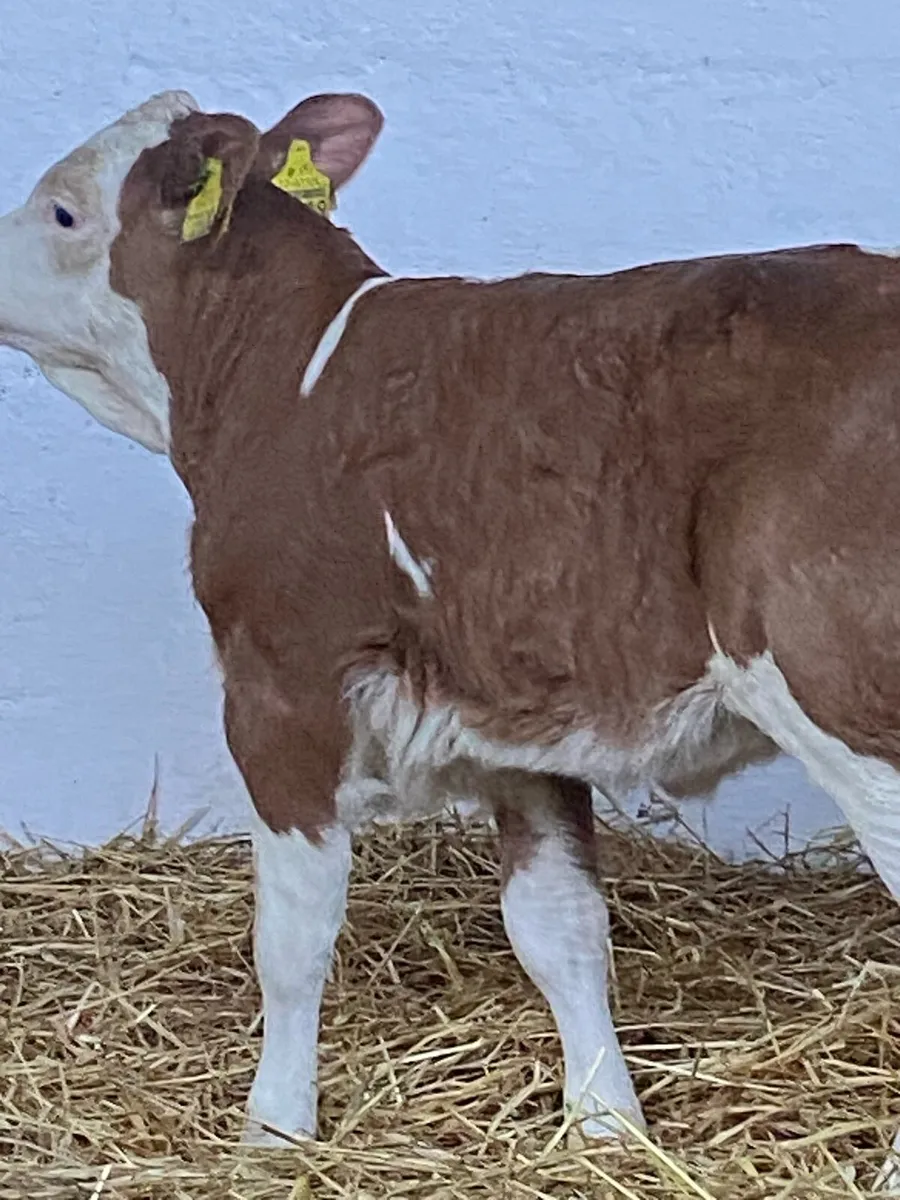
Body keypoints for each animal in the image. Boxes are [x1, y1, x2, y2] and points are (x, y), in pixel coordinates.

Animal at [0, 89, 898, 1184]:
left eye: (64, 211)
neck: (284, 381)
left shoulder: (279, 687)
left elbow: (293, 938)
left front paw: (273, 1134)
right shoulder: (517, 711)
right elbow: (560, 930)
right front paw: (606, 1128)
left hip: (845, 694)